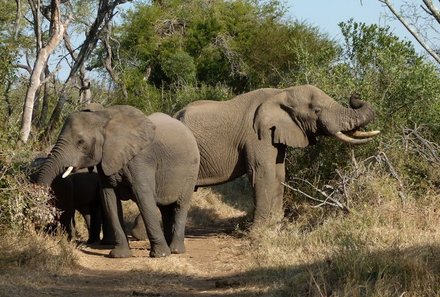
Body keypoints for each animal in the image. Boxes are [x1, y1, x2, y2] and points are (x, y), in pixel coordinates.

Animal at [37, 104, 199, 256]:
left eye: (81, 142)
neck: (103, 119)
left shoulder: (141, 160)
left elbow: (143, 198)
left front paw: (160, 255)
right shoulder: (105, 162)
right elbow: (110, 200)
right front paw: (120, 255)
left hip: (191, 171)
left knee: (180, 205)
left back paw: (175, 250)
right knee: (165, 208)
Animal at [177, 84, 380, 223]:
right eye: (316, 110)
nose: (355, 95)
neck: (281, 92)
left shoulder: (275, 133)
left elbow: (279, 172)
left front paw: (275, 225)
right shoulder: (257, 135)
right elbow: (263, 172)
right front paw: (259, 231)